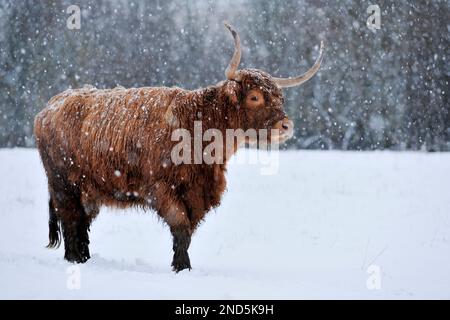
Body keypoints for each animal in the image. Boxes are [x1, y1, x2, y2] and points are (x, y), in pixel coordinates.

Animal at [35, 23, 324, 272]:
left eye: (279, 97)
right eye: (254, 97)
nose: (286, 125)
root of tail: (51, 105)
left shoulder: (198, 192)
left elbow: (188, 231)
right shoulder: (162, 188)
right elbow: (181, 225)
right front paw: (182, 267)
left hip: (90, 189)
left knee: (82, 222)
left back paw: (84, 258)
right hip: (63, 183)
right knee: (70, 219)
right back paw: (75, 260)